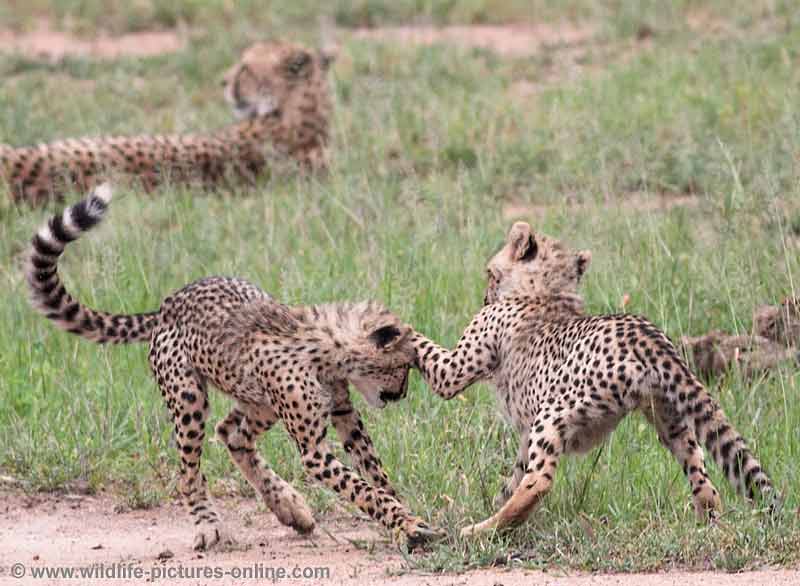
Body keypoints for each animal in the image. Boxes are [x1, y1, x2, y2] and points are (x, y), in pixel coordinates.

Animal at [26, 186, 444, 548]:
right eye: (406, 366)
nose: (402, 394)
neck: (328, 349)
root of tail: (167, 303)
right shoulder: (313, 448)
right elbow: (362, 488)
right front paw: (406, 524)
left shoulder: (344, 414)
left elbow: (375, 472)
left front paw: (405, 513)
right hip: (189, 398)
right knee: (189, 469)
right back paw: (209, 524)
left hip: (259, 402)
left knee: (232, 434)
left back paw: (289, 507)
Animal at [410, 221, 780, 536]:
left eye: (490, 273)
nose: (485, 296)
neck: (545, 289)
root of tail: (645, 332)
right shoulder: (523, 434)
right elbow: (512, 476)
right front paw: (491, 500)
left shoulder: (454, 372)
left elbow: (421, 345)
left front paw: (394, 328)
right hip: (669, 415)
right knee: (702, 476)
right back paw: (707, 522)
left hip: (556, 412)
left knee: (538, 482)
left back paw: (482, 531)